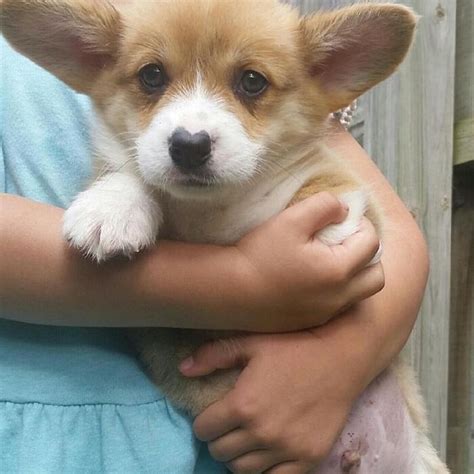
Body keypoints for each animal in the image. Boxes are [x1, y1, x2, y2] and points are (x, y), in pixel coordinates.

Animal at [1, 1, 448, 472]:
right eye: (151, 75)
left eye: (252, 81)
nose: (189, 145)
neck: (214, 209)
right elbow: (130, 170)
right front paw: (112, 208)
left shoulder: (342, 183)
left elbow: (326, 190)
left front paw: (325, 232)